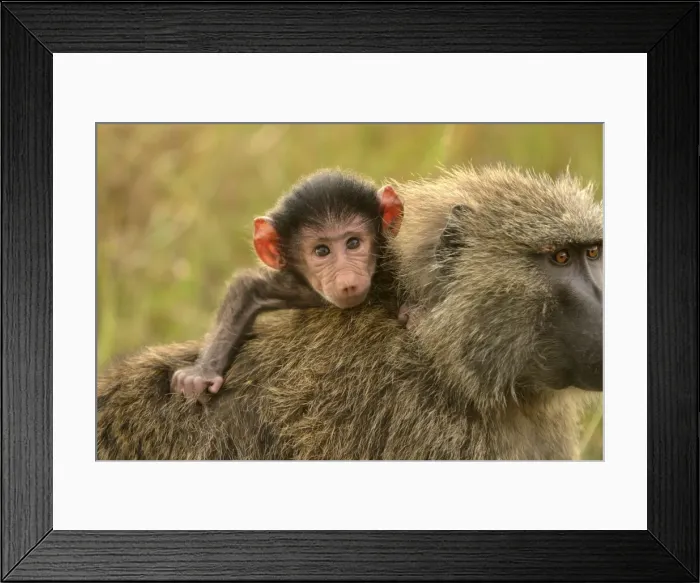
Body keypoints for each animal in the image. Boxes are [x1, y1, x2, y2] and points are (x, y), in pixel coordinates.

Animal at [169, 169, 406, 402]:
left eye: (354, 243)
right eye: (322, 251)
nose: (347, 281)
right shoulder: (301, 289)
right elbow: (249, 290)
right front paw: (201, 373)